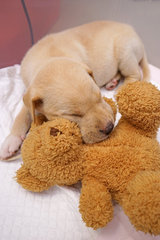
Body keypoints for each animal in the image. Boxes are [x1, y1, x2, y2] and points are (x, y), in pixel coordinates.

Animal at [0, 20, 150, 159]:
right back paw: (112, 82)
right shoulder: (29, 93)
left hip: (125, 51)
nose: (109, 128)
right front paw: (11, 140)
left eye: (99, 96)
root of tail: (133, 31)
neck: (50, 58)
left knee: (136, 74)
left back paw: (121, 88)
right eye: (73, 115)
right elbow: (23, 113)